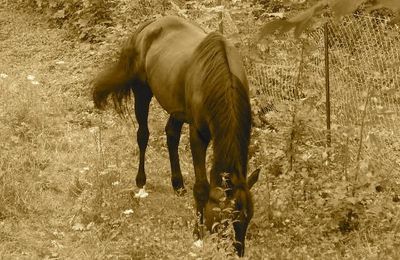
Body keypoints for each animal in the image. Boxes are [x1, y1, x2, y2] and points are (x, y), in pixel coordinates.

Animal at [92, 15, 260, 256]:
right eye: (226, 219)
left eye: (249, 218)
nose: (237, 253)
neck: (220, 79)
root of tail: (149, 26)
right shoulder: (198, 134)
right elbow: (201, 188)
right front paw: (197, 235)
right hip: (142, 92)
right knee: (143, 135)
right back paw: (141, 183)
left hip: (176, 108)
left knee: (171, 135)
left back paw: (177, 184)